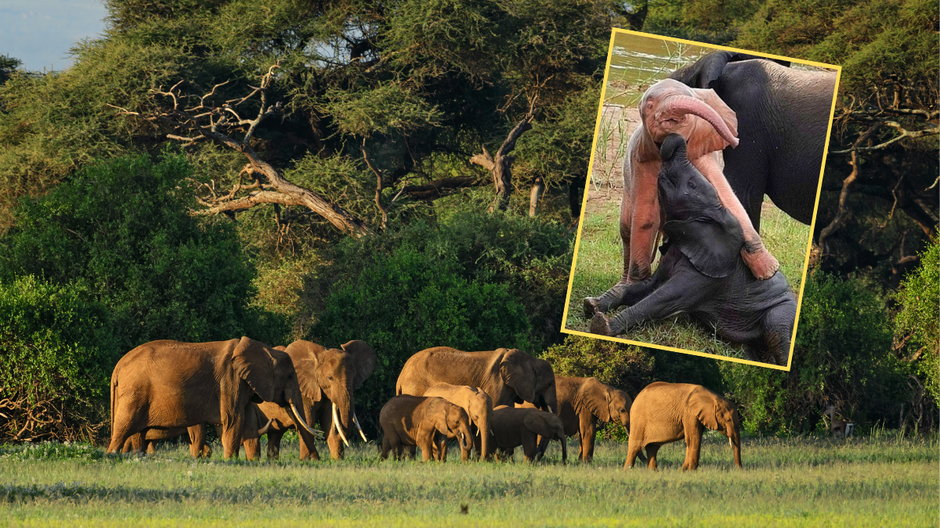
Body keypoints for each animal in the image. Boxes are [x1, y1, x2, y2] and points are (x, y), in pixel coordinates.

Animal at [108, 338, 318, 458]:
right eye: (290, 376)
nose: (316, 460)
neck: (264, 350)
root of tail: (118, 366)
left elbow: (247, 421)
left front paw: (247, 462)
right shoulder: (230, 380)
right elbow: (234, 420)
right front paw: (230, 461)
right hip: (135, 394)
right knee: (125, 428)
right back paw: (114, 456)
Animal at [592, 134, 796, 366]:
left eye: (692, 184)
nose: (675, 138)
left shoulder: (706, 279)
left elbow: (663, 298)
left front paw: (602, 325)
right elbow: (646, 286)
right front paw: (592, 304)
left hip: (782, 310)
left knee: (776, 331)